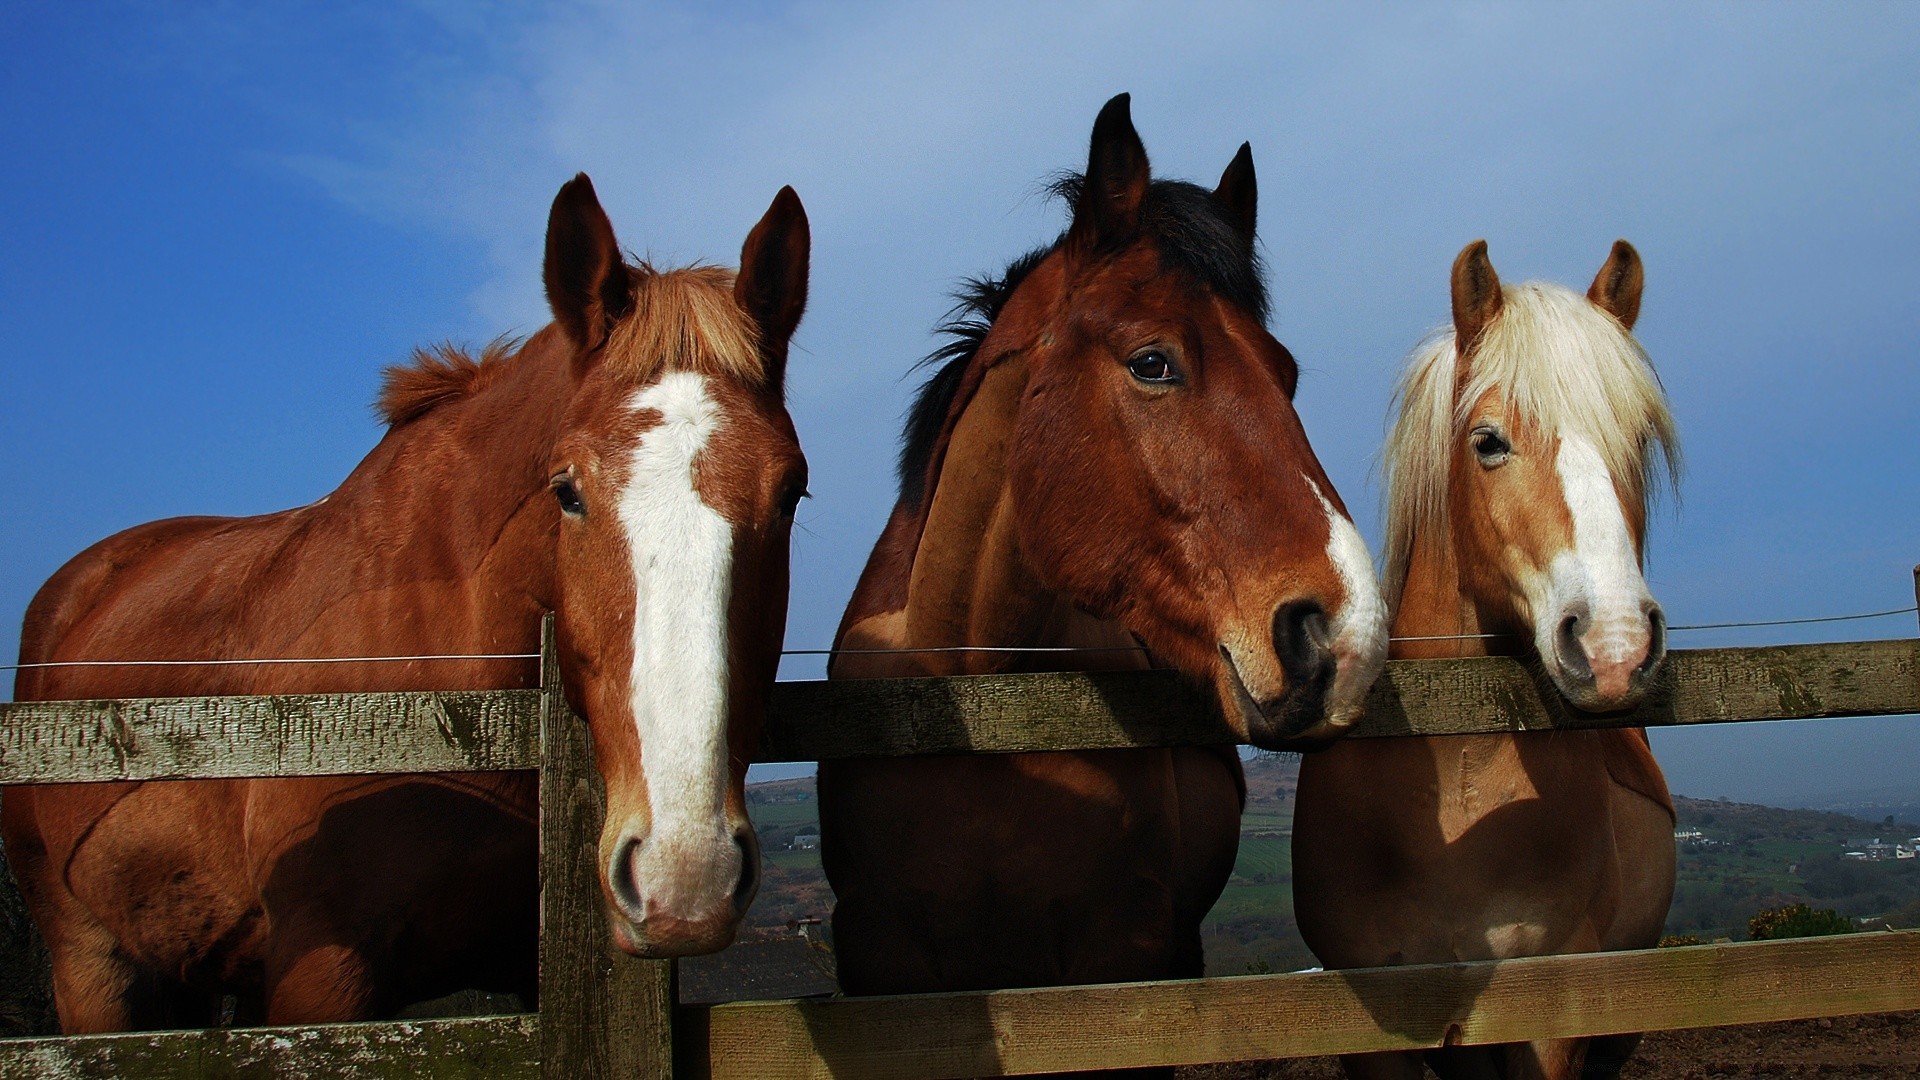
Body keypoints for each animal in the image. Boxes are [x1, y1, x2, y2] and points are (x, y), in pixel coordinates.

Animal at [817, 94, 1390, 1068]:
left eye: (1286, 373)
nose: (1343, 638)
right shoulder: (883, 969)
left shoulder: (1123, 963)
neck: (972, 702)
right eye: (1153, 362)